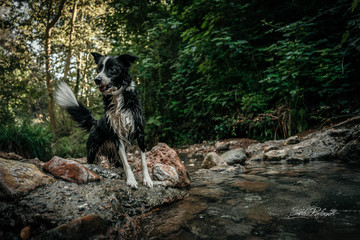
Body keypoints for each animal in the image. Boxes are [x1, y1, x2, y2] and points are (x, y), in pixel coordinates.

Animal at [56, 53, 153, 189]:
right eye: (98, 69)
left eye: (112, 69)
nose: (96, 79)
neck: (117, 96)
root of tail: (95, 123)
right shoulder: (117, 136)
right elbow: (126, 163)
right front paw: (131, 180)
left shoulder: (139, 132)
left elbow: (143, 160)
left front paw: (147, 179)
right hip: (92, 151)